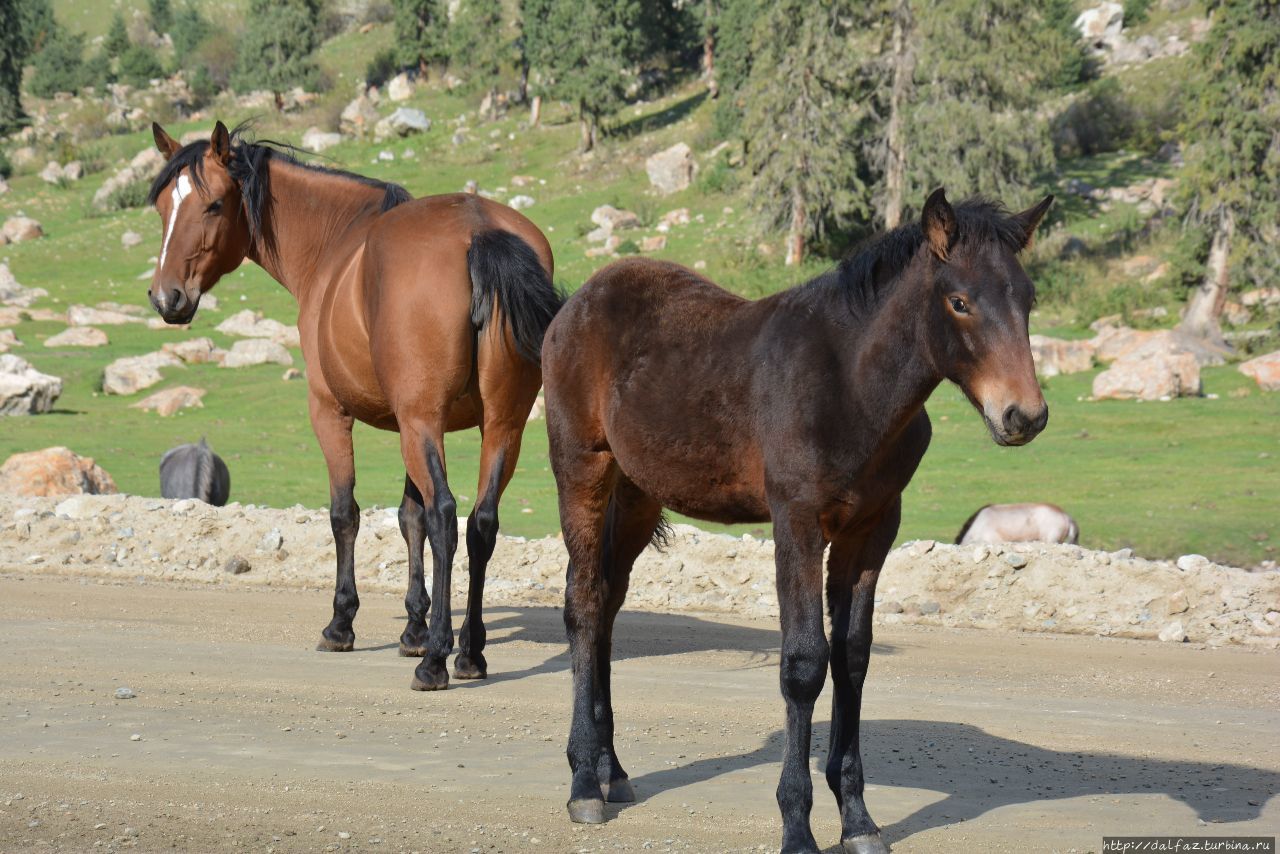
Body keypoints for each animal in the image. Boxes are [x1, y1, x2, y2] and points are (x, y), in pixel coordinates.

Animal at [145, 120, 560, 691]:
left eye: (212, 206)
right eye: (165, 206)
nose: (167, 299)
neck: (335, 243)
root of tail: (478, 230)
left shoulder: (333, 412)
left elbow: (347, 515)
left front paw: (343, 623)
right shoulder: (423, 425)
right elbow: (410, 518)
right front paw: (414, 628)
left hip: (427, 425)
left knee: (447, 518)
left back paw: (437, 661)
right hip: (500, 427)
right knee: (480, 524)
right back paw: (469, 653)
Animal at [540, 188, 1049, 854]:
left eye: (1028, 298)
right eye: (959, 301)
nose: (1024, 415)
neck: (850, 385)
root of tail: (576, 302)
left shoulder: (872, 530)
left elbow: (852, 658)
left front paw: (858, 819)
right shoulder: (797, 523)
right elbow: (805, 664)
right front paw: (798, 826)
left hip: (637, 496)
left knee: (605, 605)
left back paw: (611, 771)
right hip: (583, 470)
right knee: (581, 604)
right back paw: (581, 784)